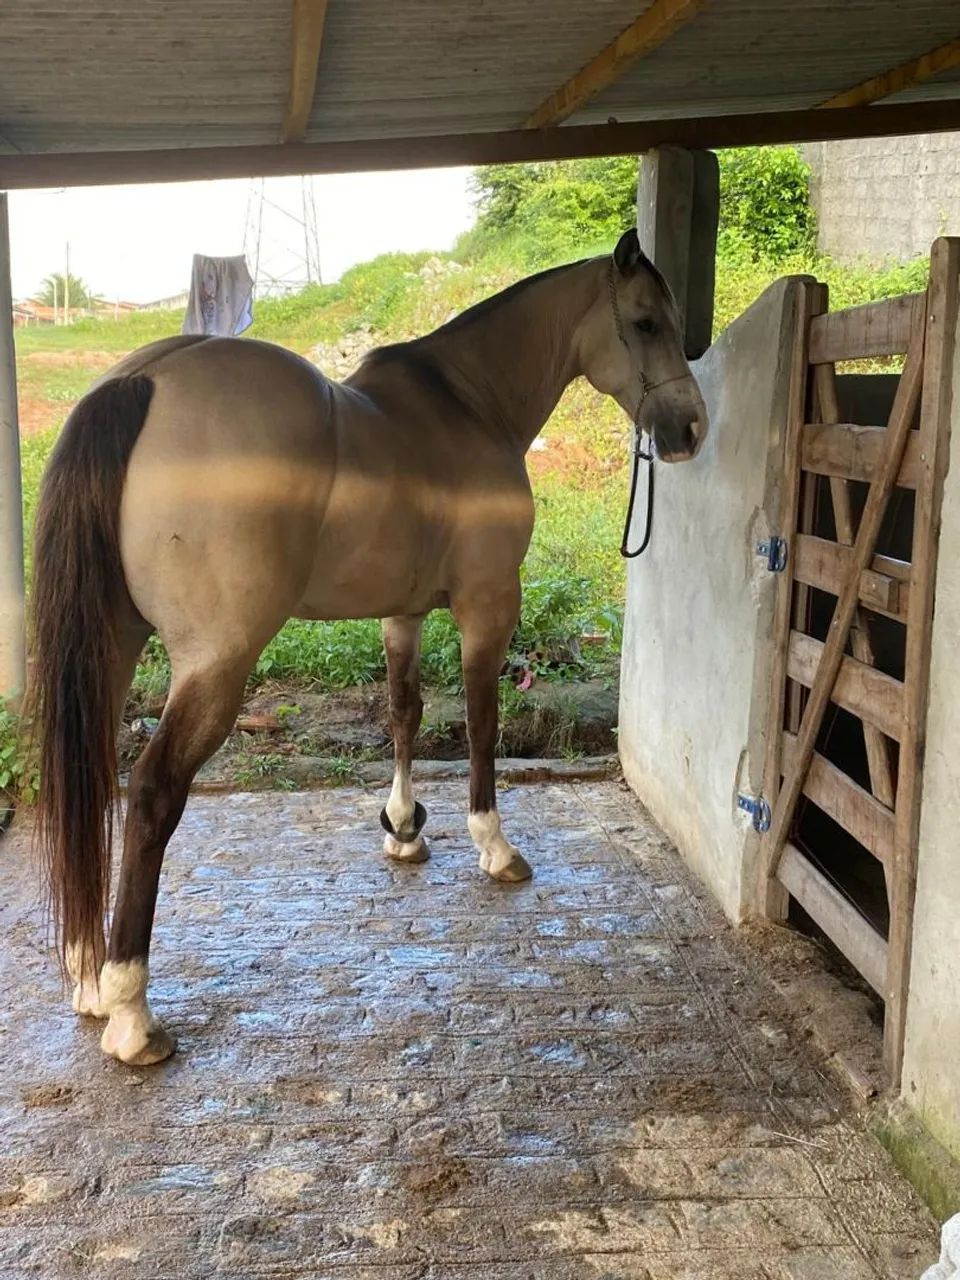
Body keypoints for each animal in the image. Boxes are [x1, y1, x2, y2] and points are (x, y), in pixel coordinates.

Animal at [28, 228, 708, 1067]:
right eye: (645, 321)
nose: (690, 428)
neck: (467, 404)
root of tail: (144, 380)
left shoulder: (402, 614)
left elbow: (403, 713)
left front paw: (405, 830)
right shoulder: (489, 605)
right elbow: (481, 724)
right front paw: (493, 845)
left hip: (112, 648)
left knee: (91, 775)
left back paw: (88, 976)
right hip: (216, 663)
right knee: (152, 792)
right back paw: (129, 1010)